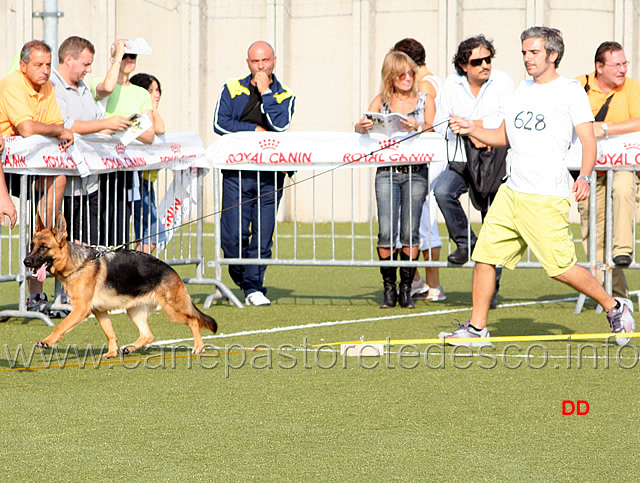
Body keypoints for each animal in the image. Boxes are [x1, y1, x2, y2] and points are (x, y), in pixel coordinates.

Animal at [23, 213, 218, 360]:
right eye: (32, 246)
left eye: (44, 247)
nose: (26, 262)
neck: (78, 264)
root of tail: (171, 270)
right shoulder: (99, 311)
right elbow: (110, 333)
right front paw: (112, 352)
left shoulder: (80, 310)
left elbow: (60, 326)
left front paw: (47, 341)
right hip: (133, 311)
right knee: (148, 335)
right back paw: (130, 348)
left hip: (173, 310)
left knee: (193, 321)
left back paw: (199, 347)